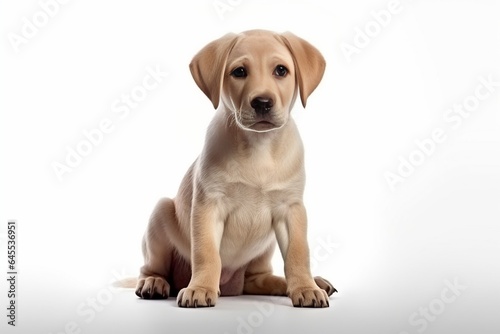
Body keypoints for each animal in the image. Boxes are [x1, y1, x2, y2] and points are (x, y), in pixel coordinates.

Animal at [135, 29, 336, 308]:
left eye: (281, 70)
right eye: (239, 72)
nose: (262, 102)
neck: (259, 147)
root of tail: (231, 285)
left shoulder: (291, 209)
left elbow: (298, 253)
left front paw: (306, 288)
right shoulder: (209, 205)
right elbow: (207, 253)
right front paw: (200, 288)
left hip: (263, 251)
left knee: (258, 279)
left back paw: (309, 282)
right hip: (160, 215)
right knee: (151, 269)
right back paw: (154, 283)